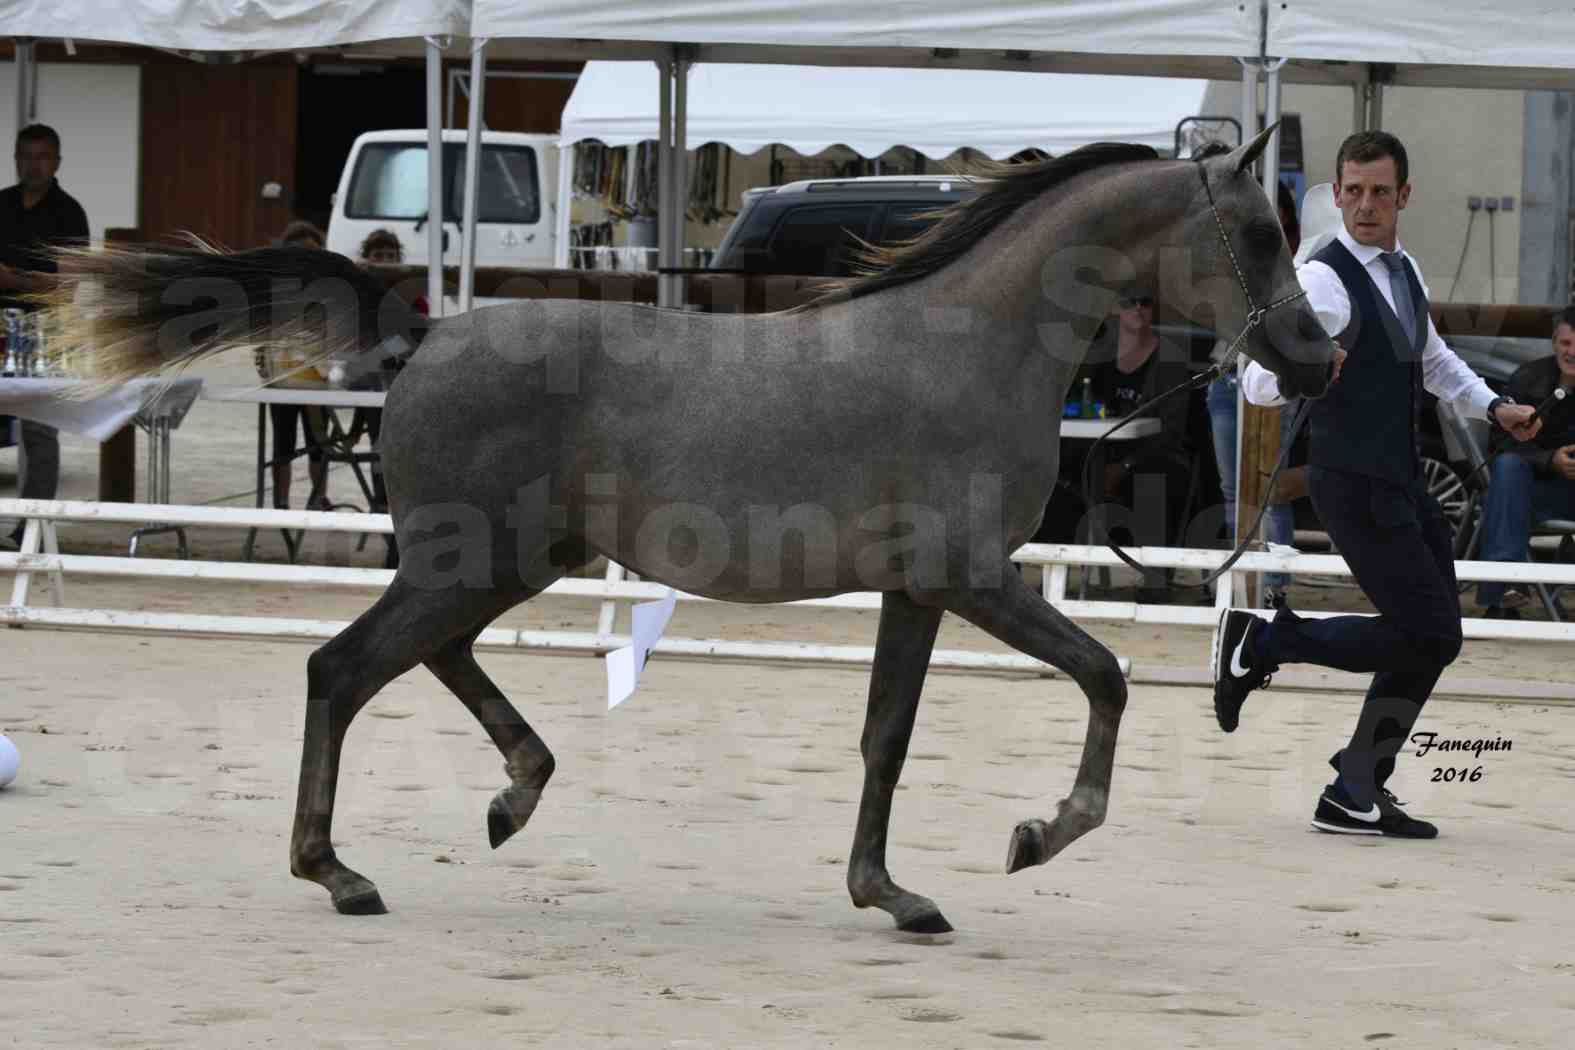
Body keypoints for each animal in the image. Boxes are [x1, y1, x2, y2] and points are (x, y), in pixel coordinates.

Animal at [46, 125, 1329, 938]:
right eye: (1259, 235)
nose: (1320, 356)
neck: (973, 344)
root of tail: (424, 337)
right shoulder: (976, 580)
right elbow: (1105, 677)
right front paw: (1036, 836)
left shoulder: (917, 592)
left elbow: (887, 738)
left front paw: (892, 897)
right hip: (476, 560)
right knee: (342, 669)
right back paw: (342, 872)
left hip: (504, 563)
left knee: (428, 658)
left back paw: (514, 796)